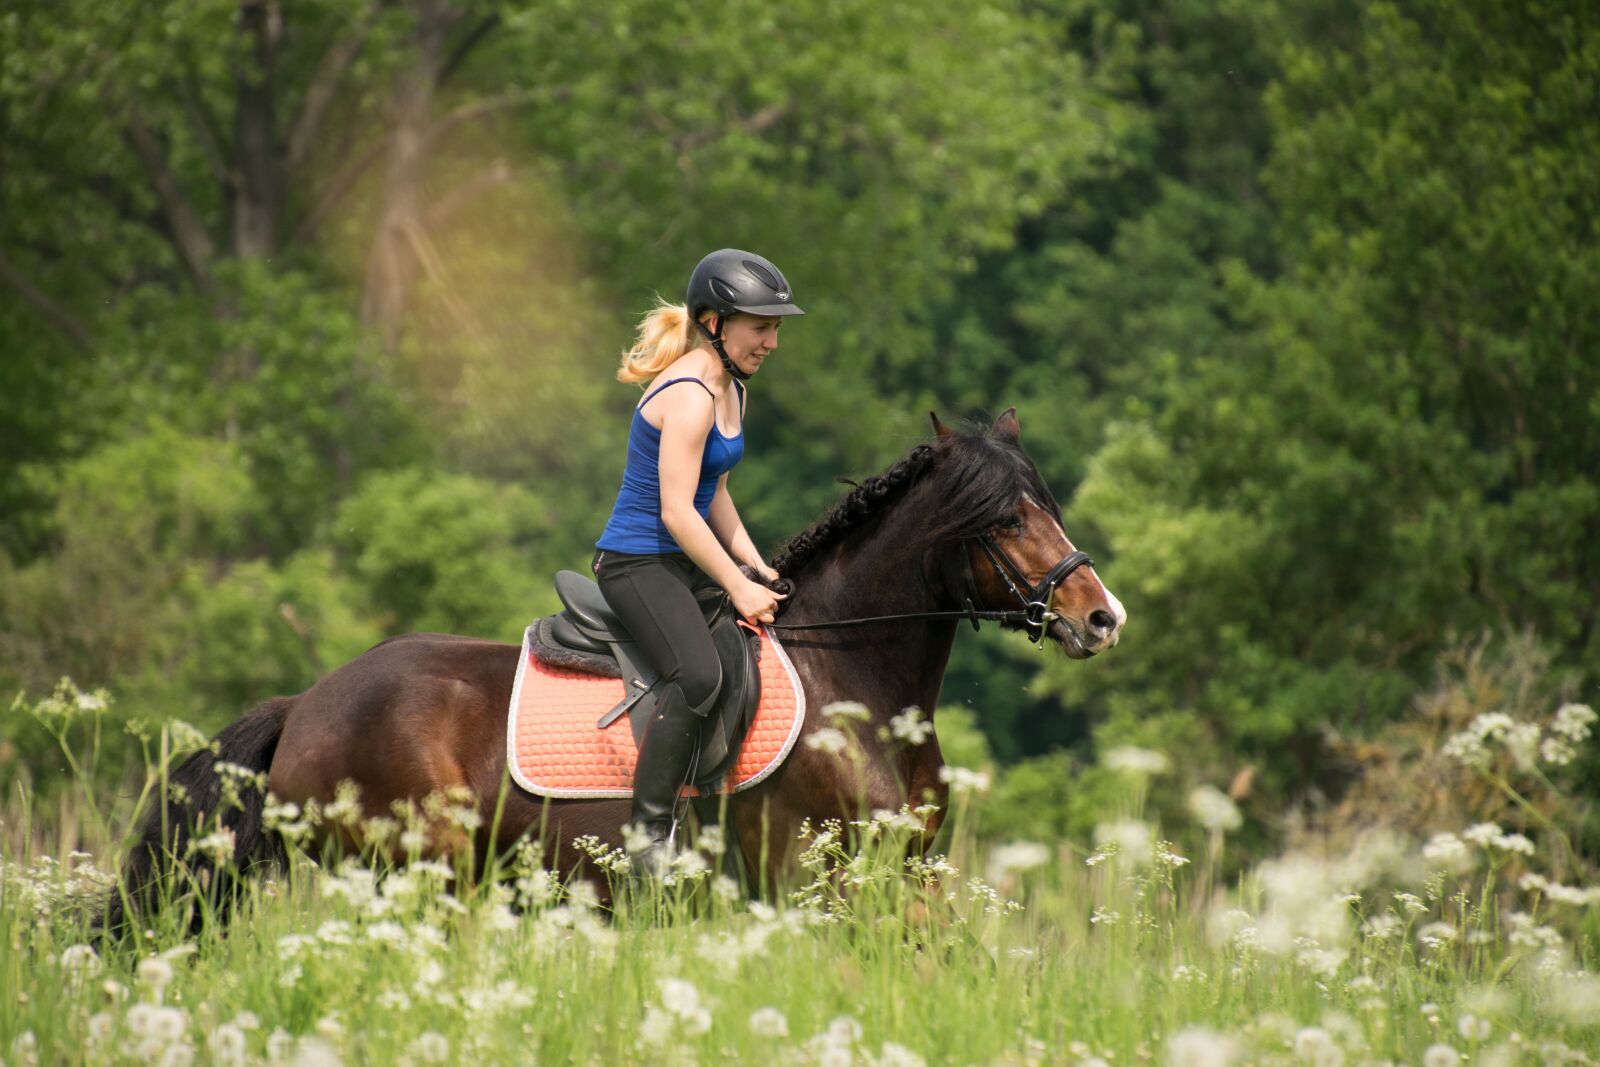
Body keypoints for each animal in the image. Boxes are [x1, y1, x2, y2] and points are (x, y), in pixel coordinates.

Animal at [109, 409, 1124, 924]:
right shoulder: (817, 882)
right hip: (416, 874)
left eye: (1046, 503)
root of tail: (309, 701)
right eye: (1003, 519)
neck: (860, 690)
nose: (1100, 617)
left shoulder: (909, 875)